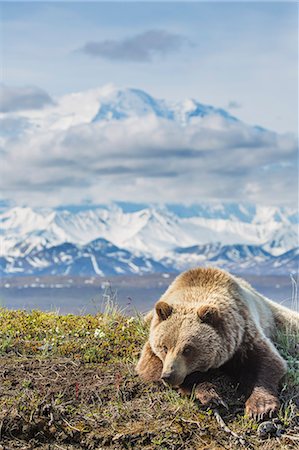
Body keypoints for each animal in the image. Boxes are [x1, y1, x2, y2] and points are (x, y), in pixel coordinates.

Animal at [137, 268, 299, 418]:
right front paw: (211, 396)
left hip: (282, 321)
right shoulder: (152, 348)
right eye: (164, 347)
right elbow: (149, 368)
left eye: (188, 349)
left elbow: (268, 362)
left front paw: (261, 408)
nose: (168, 375)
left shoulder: (244, 336)